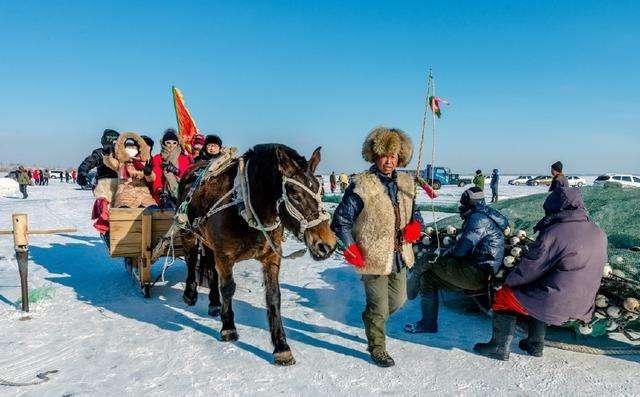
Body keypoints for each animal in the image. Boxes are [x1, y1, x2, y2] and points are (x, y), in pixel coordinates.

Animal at [175, 143, 336, 366]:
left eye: (319, 190)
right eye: (294, 193)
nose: (327, 245)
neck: (245, 207)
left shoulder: (271, 257)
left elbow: (273, 296)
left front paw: (281, 346)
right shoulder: (224, 256)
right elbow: (228, 289)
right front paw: (228, 328)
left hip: (209, 243)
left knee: (209, 265)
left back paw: (214, 303)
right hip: (189, 232)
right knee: (191, 259)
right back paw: (190, 294)